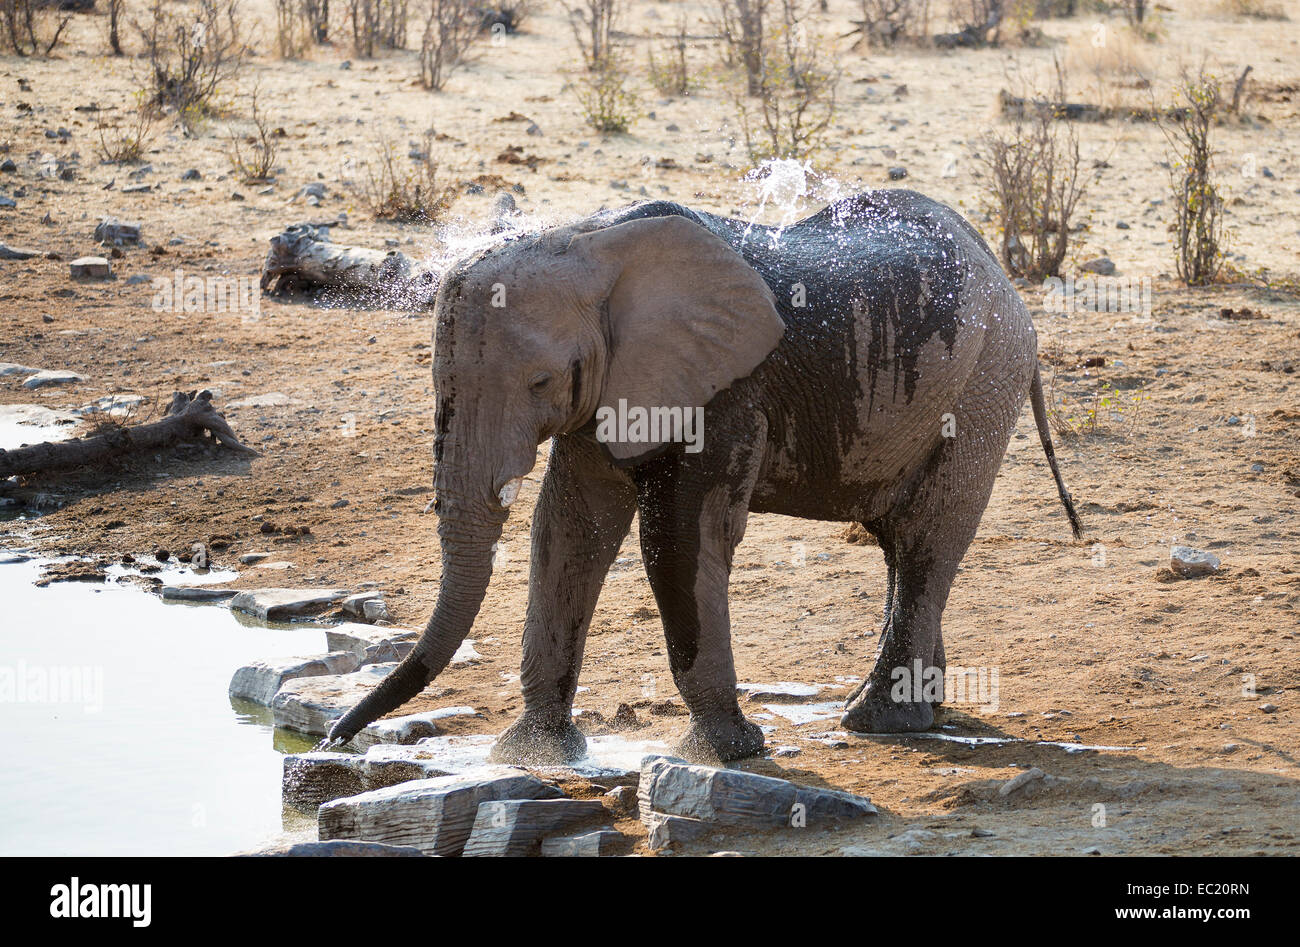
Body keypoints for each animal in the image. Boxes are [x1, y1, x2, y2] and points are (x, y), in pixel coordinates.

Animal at [330, 188, 1081, 764]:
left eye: (541, 381)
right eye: (440, 384)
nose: (335, 738)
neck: (594, 240)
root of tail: (1000, 271)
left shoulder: (726, 391)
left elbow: (679, 540)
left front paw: (731, 752)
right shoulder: (615, 385)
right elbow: (569, 531)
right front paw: (535, 754)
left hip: (986, 379)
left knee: (927, 538)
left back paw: (877, 722)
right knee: (901, 542)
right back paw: (921, 714)